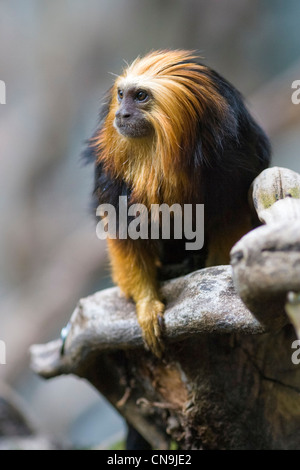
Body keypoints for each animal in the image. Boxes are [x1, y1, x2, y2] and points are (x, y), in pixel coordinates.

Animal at [83, 49, 270, 356]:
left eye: (141, 96)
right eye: (121, 95)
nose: (121, 114)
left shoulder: (234, 160)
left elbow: (229, 219)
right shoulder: (113, 180)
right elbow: (126, 234)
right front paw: (146, 305)